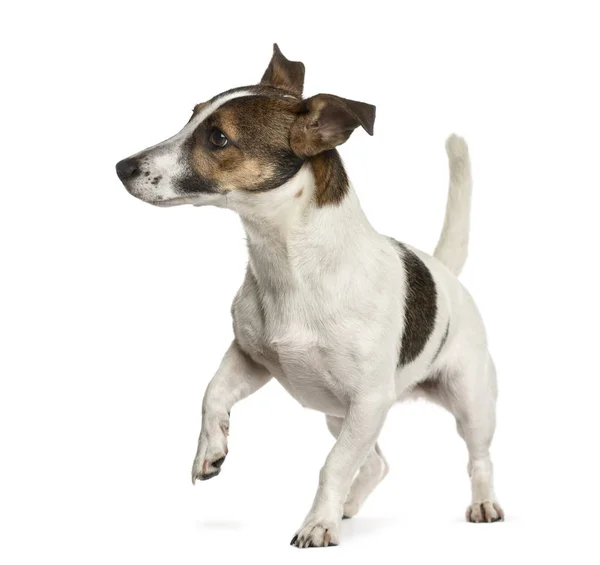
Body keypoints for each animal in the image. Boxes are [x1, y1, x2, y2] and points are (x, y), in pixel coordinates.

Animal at [116, 44, 502, 548]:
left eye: (218, 138)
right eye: (191, 115)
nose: (121, 167)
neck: (288, 266)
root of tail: (444, 272)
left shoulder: (369, 401)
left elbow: (332, 466)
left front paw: (317, 523)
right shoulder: (252, 359)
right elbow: (212, 393)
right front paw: (211, 448)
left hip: (468, 400)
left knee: (477, 457)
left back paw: (482, 503)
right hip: (338, 416)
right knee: (375, 463)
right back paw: (349, 506)